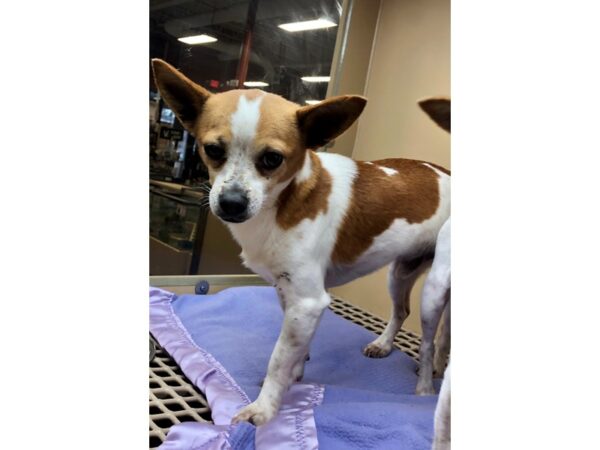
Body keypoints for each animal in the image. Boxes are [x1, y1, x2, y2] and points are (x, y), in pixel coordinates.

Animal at [154, 59, 450, 426]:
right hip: (400, 275)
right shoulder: (292, 296)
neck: (284, 203)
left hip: (433, 292)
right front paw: (295, 376)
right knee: (402, 313)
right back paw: (385, 345)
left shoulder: (307, 301)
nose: (232, 203)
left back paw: (424, 389)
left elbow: (278, 358)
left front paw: (264, 409)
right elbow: (294, 352)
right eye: (213, 150)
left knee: (427, 342)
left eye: (272, 159)